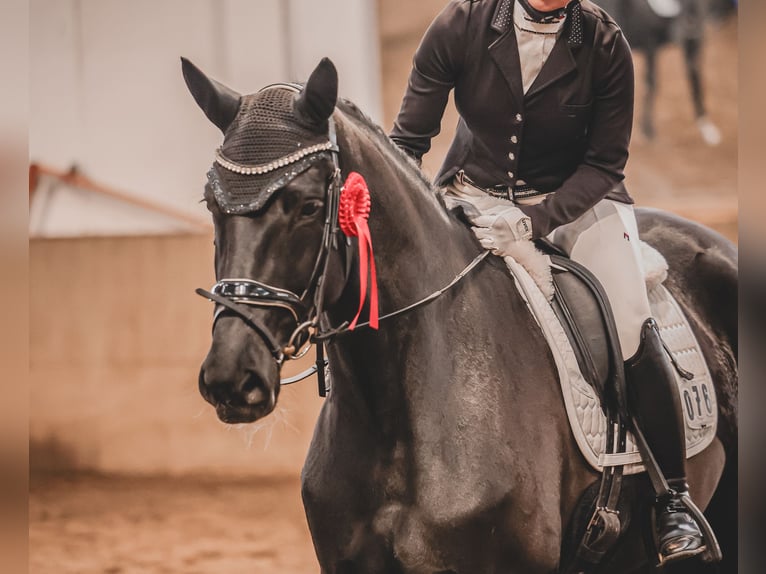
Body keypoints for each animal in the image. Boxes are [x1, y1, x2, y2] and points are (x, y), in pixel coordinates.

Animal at [600, 0, 736, 146]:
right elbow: (651, 84)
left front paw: (706, 127)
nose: (690, 26)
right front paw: (647, 129)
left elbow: (696, 82)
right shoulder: (650, 43)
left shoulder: (694, 45)